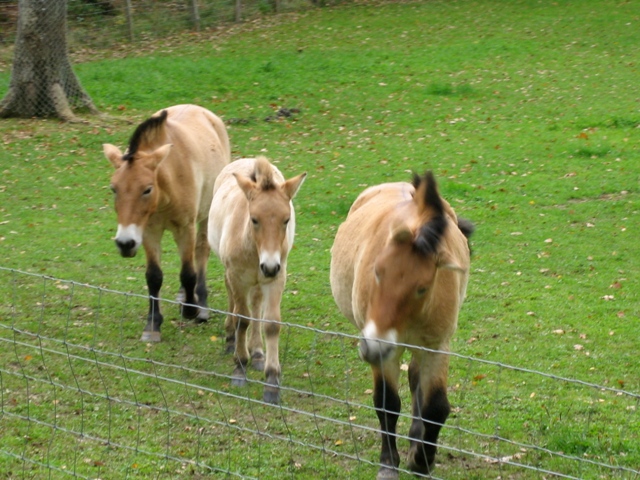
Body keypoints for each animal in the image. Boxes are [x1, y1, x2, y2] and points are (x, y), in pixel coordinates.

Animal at [105, 105, 232, 344]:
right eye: (113, 188)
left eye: (147, 189)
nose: (125, 243)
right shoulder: (148, 231)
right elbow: (154, 276)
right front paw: (153, 324)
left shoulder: (186, 227)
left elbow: (188, 272)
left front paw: (191, 309)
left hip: (205, 217)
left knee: (200, 253)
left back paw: (201, 304)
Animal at [332, 171, 472, 478]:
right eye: (377, 271)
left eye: (422, 288)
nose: (373, 346)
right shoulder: (386, 352)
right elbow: (387, 404)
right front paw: (389, 463)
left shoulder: (436, 346)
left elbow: (436, 408)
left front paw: (422, 461)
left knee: (417, 380)